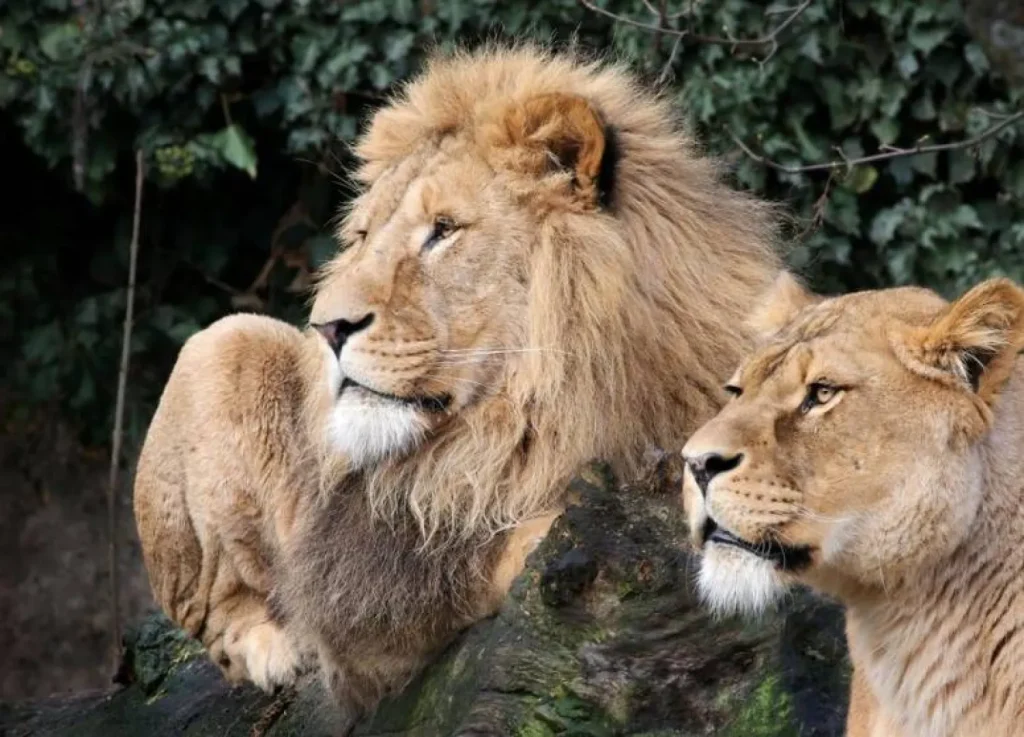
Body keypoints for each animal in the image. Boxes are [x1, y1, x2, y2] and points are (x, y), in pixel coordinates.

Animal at [134, 44, 782, 722]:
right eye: (362, 237)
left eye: (443, 230)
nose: (326, 327)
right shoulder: (377, 602)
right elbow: (507, 551)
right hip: (221, 343)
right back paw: (276, 651)